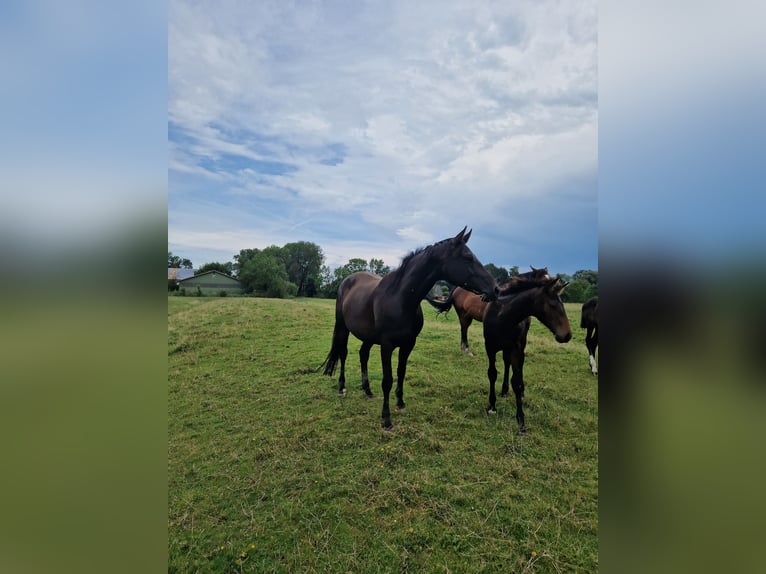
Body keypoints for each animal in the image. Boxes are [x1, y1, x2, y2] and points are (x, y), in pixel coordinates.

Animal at [320, 227, 500, 430]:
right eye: (468, 257)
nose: (496, 289)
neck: (400, 298)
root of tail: (348, 280)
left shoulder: (408, 344)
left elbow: (401, 373)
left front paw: (400, 403)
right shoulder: (386, 345)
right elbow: (387, 380)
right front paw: (386, 419)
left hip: (368, 337)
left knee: (363, 354)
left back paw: (367, 390)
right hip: (343, 328)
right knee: (343, 353)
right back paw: (342, 388)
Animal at [484, 276, 572, 434]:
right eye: (552, 305)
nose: (567, 335)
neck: (503, 317)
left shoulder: (515, 349)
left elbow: (516, 381)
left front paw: (521, 421)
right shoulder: (490, 348)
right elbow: (492, 374)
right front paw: (492, 406)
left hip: (521, 345)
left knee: (519, 364)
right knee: (506, 363)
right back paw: (504, 390)